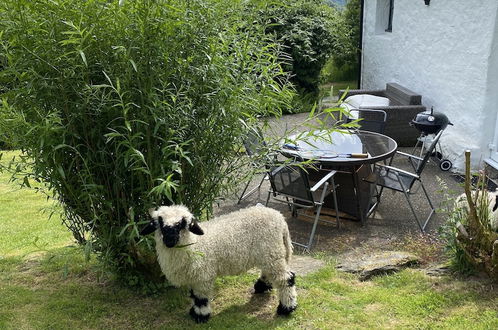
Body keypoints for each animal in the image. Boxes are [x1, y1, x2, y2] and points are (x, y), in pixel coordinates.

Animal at [141, 205, 296, 324]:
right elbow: (193, 295)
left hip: (272, 252)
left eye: (181, 224)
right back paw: (262, 286)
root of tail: (279, 217)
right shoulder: (193, 277)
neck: (195, 244)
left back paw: (286, 308)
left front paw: (200, 316)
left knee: (286, 279)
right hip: (269, 254)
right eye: (161, 224)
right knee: (269, 272)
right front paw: (193, 311)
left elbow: (201, 298)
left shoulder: (203, 277)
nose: (169, 240)